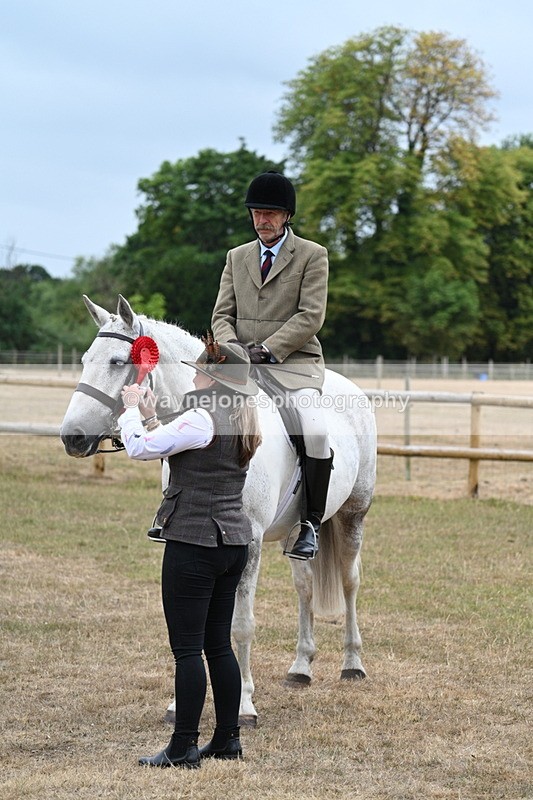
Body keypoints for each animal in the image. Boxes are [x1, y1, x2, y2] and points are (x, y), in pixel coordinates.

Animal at [60, 295, 377, 727]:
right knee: (306, 587)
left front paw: (243, 703)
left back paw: (352, 664)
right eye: (85, 359)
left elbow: (240, 625)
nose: (72, 438)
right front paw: (179, 704)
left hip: (353, 515)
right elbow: (192, 619)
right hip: (297, 532)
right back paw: (301, 667)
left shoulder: (250, 542)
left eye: (117, 361)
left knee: (349, 582)